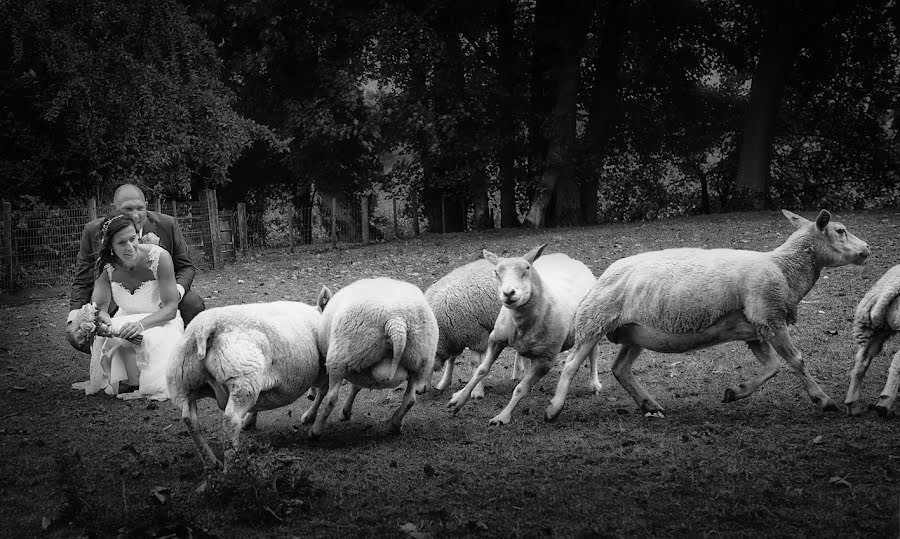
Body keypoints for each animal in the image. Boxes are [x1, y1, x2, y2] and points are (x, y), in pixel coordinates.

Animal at [166, 302, 326, 470]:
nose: (309, 395)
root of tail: (205, 328)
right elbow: (324, 392)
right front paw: (310, 417)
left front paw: (250, 420)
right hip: (243, 381)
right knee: (230, 421)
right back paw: (233, 467)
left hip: (181, 385)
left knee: (189, 419)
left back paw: (211, 462)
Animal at [308, 278, 438, 438]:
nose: (309, 396)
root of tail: (396, 323)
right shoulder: (361, 366)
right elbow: (356, 386)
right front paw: (345, 412)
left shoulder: (333, 359)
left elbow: (323, 391)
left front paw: (309, 416)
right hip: (419, 360)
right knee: (410, 399)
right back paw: (395, 424)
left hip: (341, 357)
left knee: (331, 398)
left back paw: (315, 430)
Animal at [448, 245, 600, 426]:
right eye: (496, 272)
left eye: (527, 268)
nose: (508, 293)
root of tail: (569, 258)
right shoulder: (496, 340)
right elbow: (481, 370)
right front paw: (459, 399)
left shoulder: (546, 360)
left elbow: (520, 389)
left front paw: (503, 416)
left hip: (591, 326)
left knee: (593, 354)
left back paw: (594, 384)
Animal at [544, 209, 868, 424]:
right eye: (840, 230)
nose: (867, 248)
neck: (784, 269)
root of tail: (602, 276)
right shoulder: (770, 316)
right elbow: (796, 361)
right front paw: (824, 400)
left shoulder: (757, 329)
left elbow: (773, 366)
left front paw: (735, 392)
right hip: (595, 321)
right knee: (571, 364)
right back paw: (553, 409)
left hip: (634, 332)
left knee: (620, 368)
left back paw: (650, 405)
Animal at [844, 264, 900, 418]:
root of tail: (891, 289)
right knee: (897, 361)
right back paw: (884, 403)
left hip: (872, 328)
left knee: (862, 359)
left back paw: (852, 404)